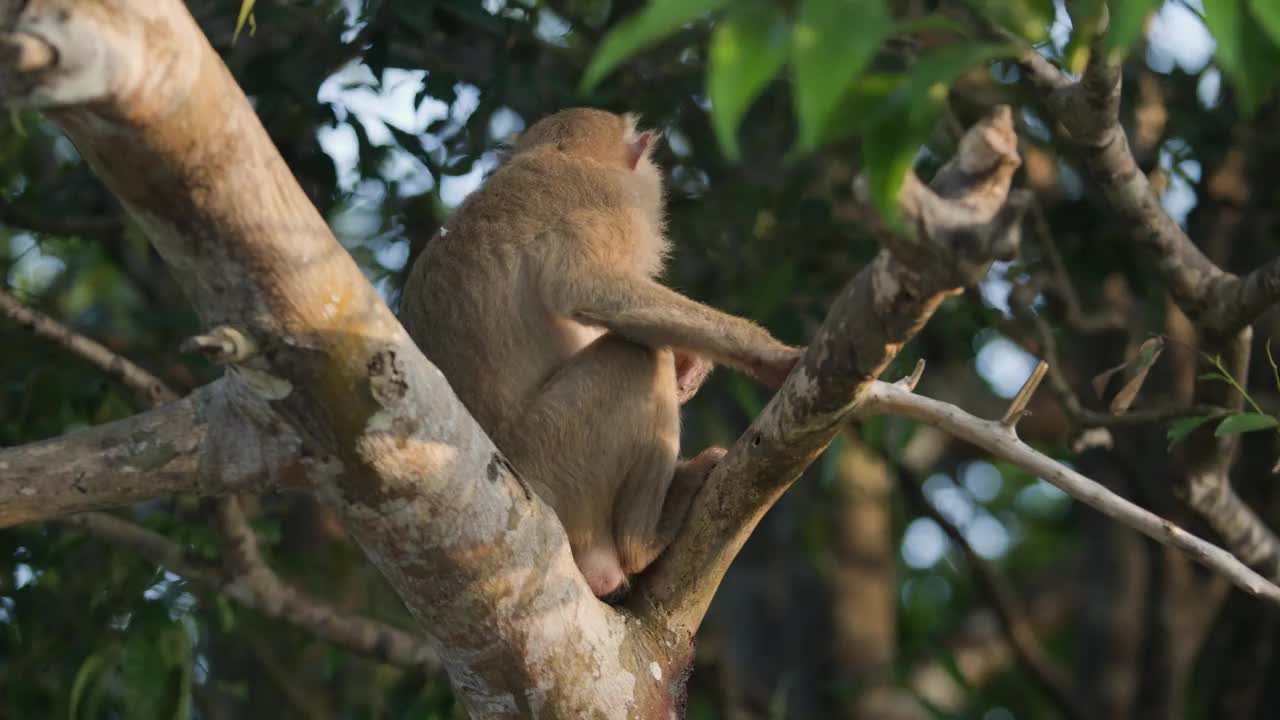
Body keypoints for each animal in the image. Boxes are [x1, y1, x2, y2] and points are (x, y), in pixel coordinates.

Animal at [399, 107, 798, 599]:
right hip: (552, 460)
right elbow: (586, 287)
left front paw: (693, 363)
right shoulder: (612, 205)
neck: (564, 154)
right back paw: (643, 541)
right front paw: (766, 352)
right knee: (637, 359)